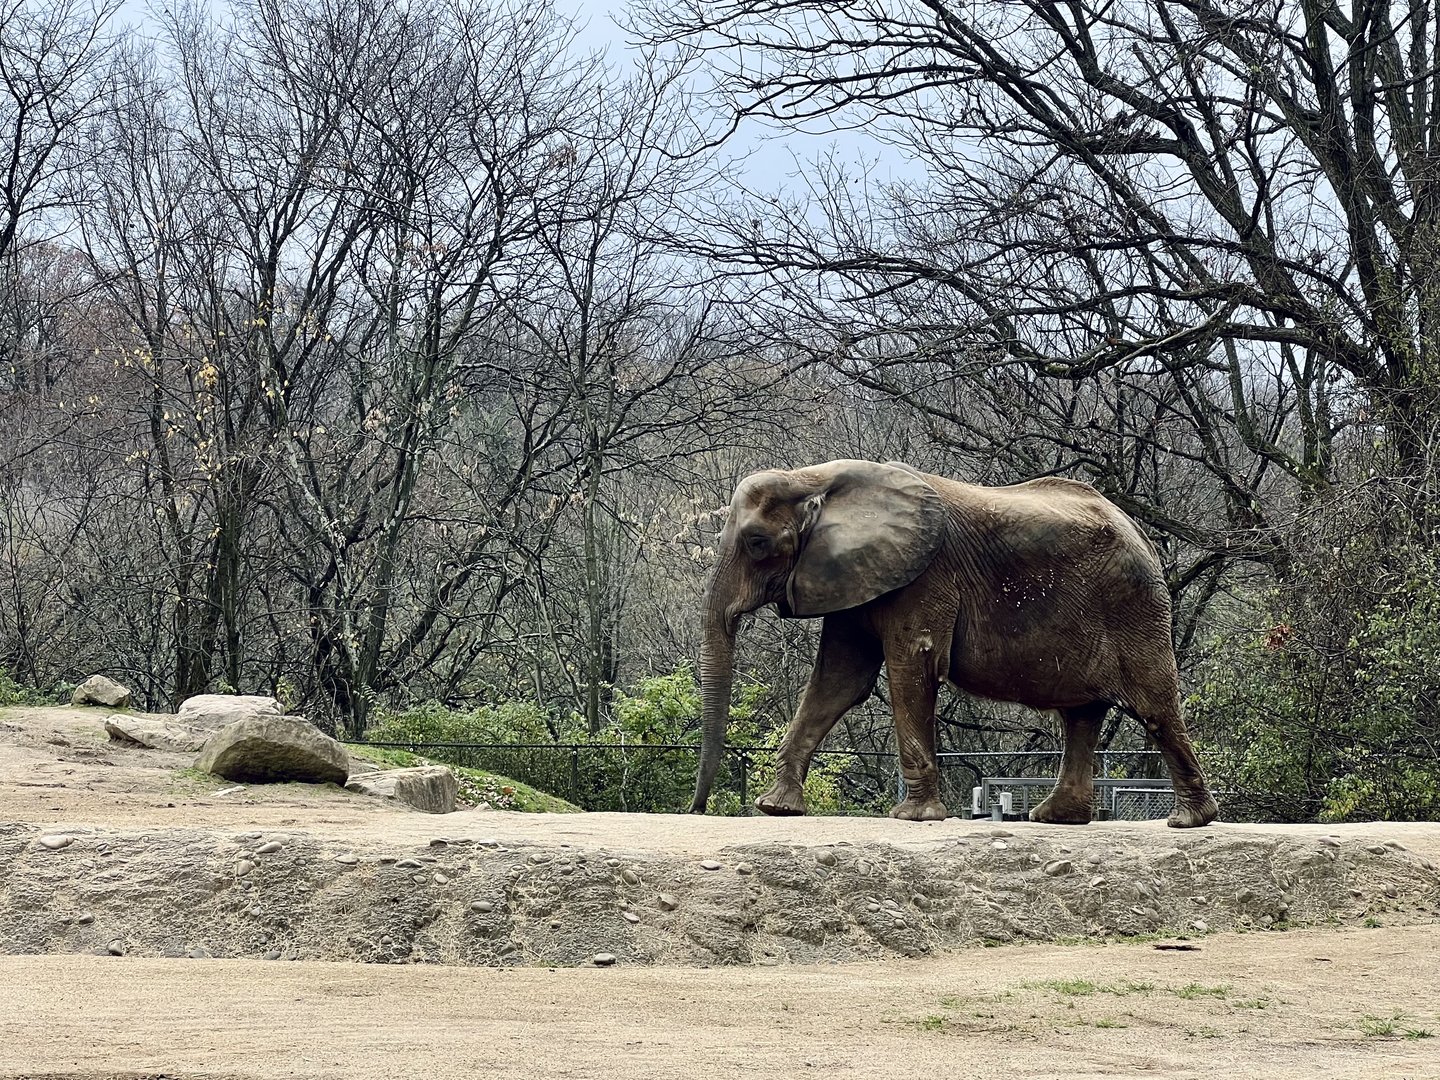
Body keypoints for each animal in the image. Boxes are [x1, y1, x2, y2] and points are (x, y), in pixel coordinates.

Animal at [689, 459, 1219, 828]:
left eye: (757, 543)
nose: (697, 809)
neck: (812, 478)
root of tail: (1142, 532)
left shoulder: (923, 578)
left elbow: (911, 668)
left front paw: (913, 818)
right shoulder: (853, 577)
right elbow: (840, 680)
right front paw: (776, 808)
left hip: (1135, 606)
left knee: (1154, 705)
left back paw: (1188, 821)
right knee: (1081, 714)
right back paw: (1055, 818)